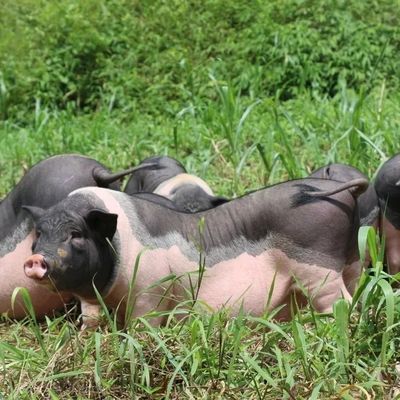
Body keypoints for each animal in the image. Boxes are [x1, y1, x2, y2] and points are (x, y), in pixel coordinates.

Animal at [23, 177, 368, 326]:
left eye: (76, 234)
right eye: (39, 234)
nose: (36, 259)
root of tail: (338, 189)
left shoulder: (151, 291)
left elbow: (143, 325)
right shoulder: (93, 303)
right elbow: (91, 322)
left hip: (317, 268)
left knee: (340, 303)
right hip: (351, 261)